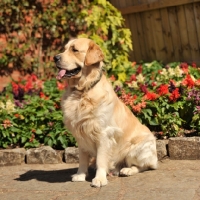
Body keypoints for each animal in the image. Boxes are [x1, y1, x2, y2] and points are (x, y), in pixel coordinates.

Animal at [53, 38, 158, 188]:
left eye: (74, 50)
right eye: (65, 48)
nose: (55, 58)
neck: (82, 92)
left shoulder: (103, 133)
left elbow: (101, 160)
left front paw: (100, 179)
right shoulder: (81, 135)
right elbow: (82, 159)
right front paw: (80, 175)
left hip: (137, 148)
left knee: (144, 166)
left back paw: (128, 170)